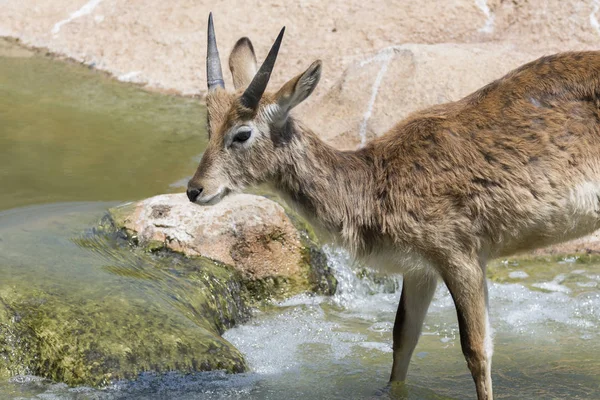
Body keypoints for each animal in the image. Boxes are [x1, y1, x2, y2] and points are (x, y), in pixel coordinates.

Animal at [186, 12, 600, 400]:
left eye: (242, 133)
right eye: (208, 126)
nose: (194, 189)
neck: (374, 183)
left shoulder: (461, 255)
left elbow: (476, 349)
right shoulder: (420, 268)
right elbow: (402, 340)